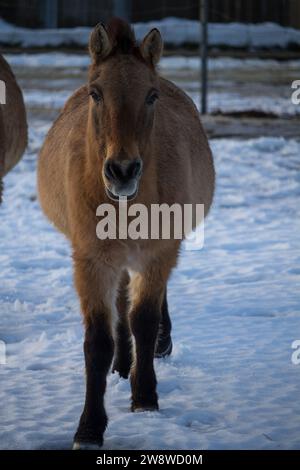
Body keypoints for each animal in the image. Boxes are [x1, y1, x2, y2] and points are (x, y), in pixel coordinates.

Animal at [38, 18, 216, 448]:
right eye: (95, 93)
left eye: (151, 96)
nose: (122, 171)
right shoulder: (91, 260)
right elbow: (98, 341)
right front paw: (89, 427)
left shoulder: (157, 252)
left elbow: (145, 321)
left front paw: (145, 396)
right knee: (120, 303)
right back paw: (122, 363)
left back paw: (157, 347)